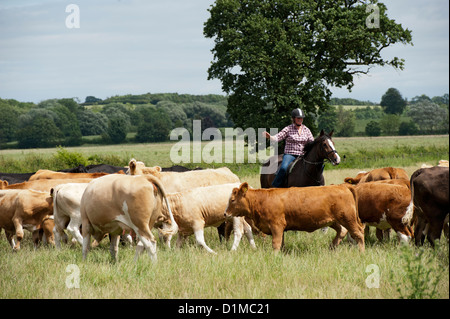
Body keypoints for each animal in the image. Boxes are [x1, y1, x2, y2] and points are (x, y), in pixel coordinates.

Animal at [225, 184, 366, 254]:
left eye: (232, 200)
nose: (225, 214)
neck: (262, 200)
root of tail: (343, 186)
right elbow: (281, 243)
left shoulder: (277, 226)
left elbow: (276, 243)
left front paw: (274, 256)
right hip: (333, 220)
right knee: (342, 230)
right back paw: (332, 247)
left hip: (348, 218)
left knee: (358, 233)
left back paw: (361, 252)